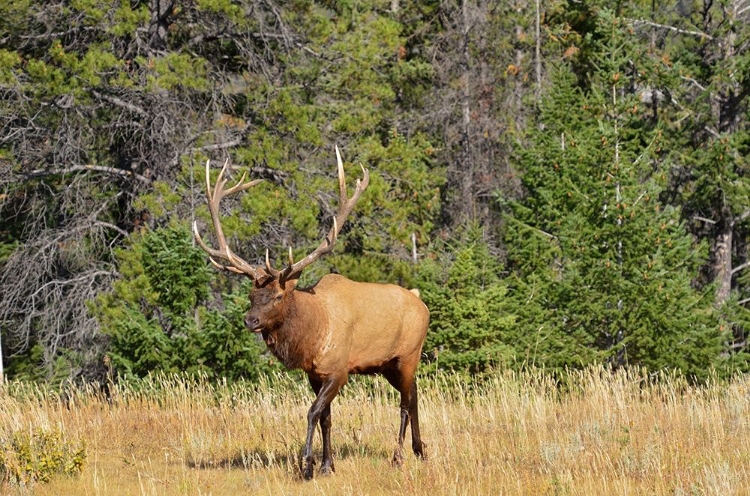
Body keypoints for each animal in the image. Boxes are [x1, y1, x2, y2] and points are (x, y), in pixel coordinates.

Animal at [194, 148, 428, 480]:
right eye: (251, 295)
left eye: (278, 296)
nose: (250, 320)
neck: (312, 336)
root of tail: (420, 301)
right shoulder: (314, 374)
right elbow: (326, 417)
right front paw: (328, 464)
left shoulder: (339, 370)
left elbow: (313, 411)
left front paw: (307, 463)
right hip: (387, 364)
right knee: (415, 392)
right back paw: (420, 450)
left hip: (408, 354)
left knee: (405, 402)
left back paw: (398, 456)